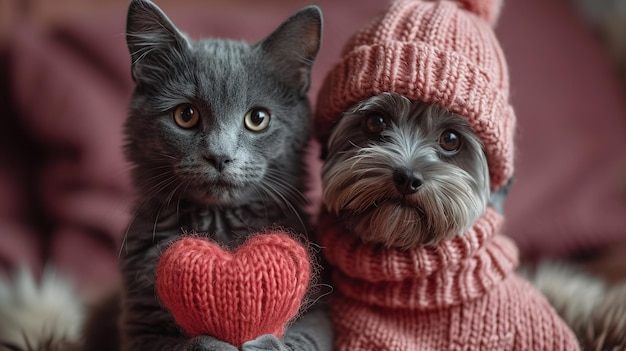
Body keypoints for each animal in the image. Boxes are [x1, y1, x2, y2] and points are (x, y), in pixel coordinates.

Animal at [109, 0, 332, 351]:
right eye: (185, 115)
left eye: (258, 118)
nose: (219, 156)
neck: (220, 228)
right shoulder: (139, 326)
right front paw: (214, 342)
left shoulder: (320, 311)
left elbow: (307, 338)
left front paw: (262, 343)